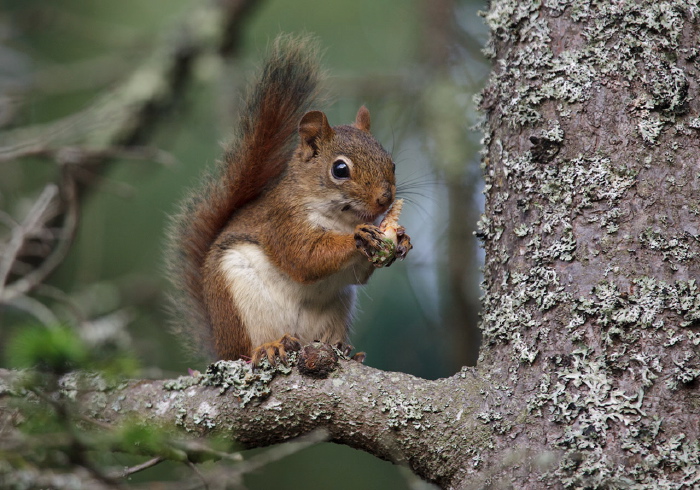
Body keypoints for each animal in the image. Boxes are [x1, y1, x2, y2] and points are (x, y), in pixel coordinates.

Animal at [168, 33, 410, 364]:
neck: (341, 219)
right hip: (239, 303)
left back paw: (346, 350)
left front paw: (402, 238)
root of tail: (220, 348)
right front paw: (359, 238)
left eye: (392, 163)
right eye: (340, 169)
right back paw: (269, 347)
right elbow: (305, 257)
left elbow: (358, 275)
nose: (385, 199)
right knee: (247, 350)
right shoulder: (282, 221)